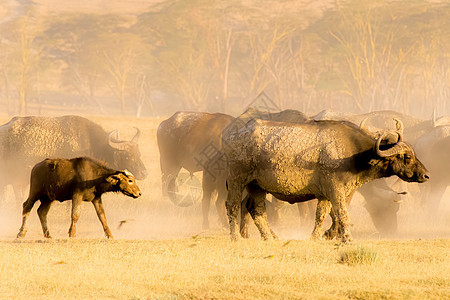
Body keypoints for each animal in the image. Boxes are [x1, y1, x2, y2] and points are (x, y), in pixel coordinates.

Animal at [225, 118, 428, 243]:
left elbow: (321, 215)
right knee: (232, 205)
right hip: (236, 180)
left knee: (256, 209)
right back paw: (235, 237)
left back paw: (270, 237)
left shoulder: (325, 194)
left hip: (257, 186)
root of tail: (231, 136)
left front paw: (316, 238)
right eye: (407, 157)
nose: (426, 175)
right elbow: (342, 214)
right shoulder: (336, 190)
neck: (354, 153)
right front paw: (347, 239)